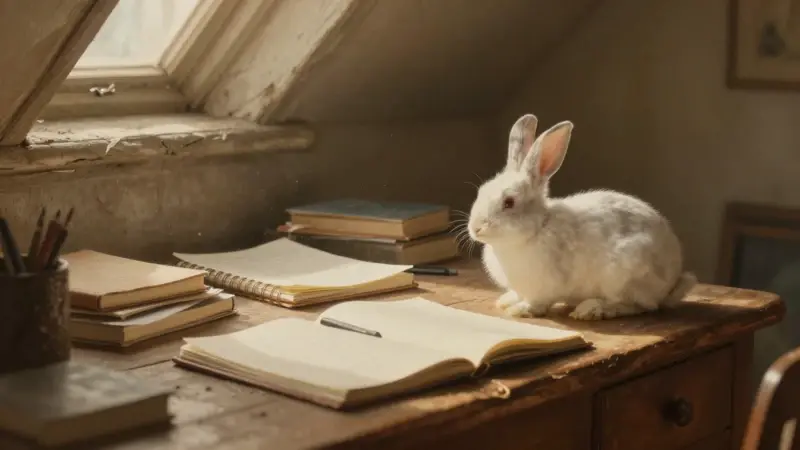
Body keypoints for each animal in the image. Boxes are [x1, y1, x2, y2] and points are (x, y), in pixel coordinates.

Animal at [466, 114, 696, 320]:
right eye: (481, 191)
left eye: (509, 202)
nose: (475, 228)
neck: (538, 228)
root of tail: (672, 282)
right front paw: (506, 301)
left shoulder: (544, 288)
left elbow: (537, 302)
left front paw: (520, 310)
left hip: (624, 275)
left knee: (639, 306)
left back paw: (592, 309)